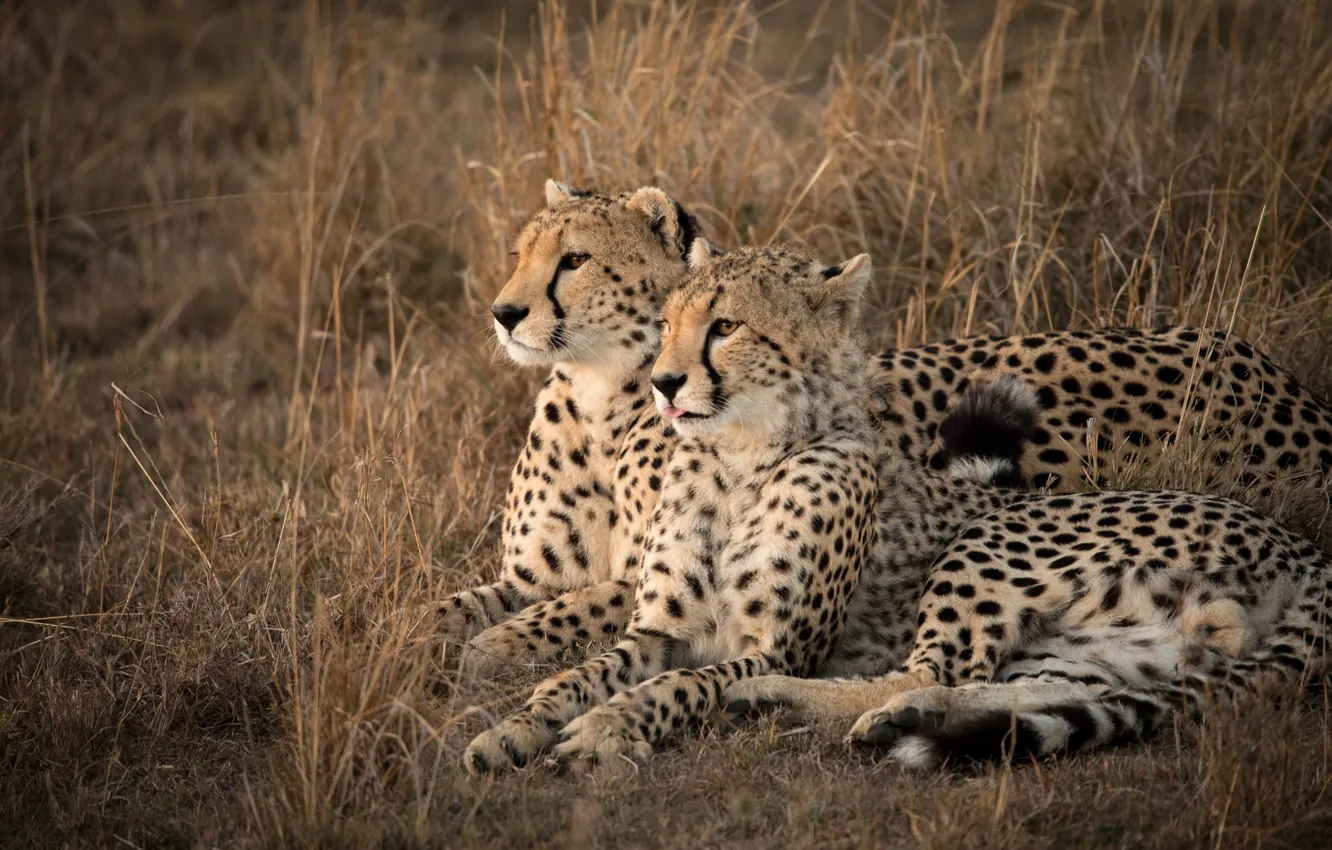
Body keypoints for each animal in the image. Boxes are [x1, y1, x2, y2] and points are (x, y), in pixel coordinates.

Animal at [724, 377, 1332, 770]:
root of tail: (1305, 551)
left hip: (989, 542)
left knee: (930, 671)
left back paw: (777, 693)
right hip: (1107, 645)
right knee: (1053, 689)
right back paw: (911, 715)